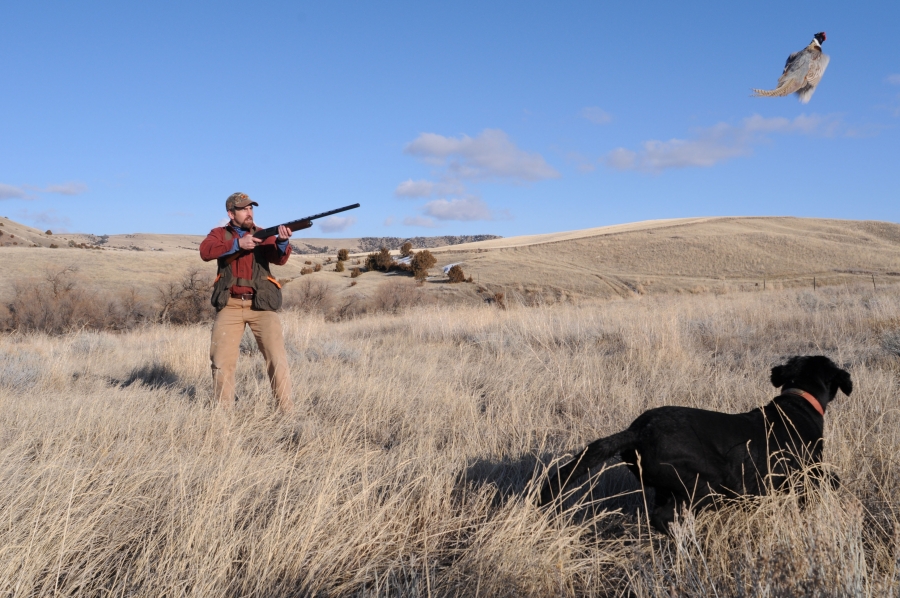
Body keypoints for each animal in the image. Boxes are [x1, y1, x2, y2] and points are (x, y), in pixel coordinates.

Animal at [536, 354, 856, 532]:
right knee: (664, 517)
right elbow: (830, 480)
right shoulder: (807, 472)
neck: (798, 401)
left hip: (668, 487)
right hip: (702, 486)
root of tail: (637, 431)